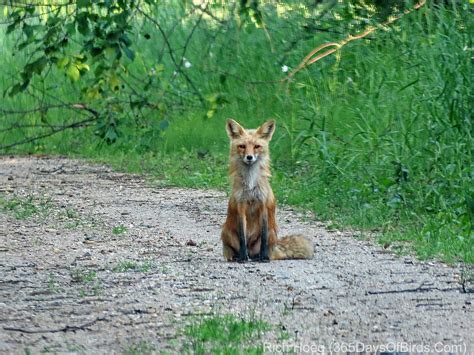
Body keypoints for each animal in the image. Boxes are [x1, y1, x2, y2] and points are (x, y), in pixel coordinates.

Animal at [222, 119, 314, 262]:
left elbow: (264, 238)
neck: (251, 184)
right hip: (226, 232)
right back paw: (238, 257)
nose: (249, 157)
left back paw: (259, 256)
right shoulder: (241, 205)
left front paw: (263, 257)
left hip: (272, 233)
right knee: (236, 249)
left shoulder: (263, 205)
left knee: (262, 248)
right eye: (242, 146)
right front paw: (243, 257)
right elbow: (242, 237)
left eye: (256, 146)